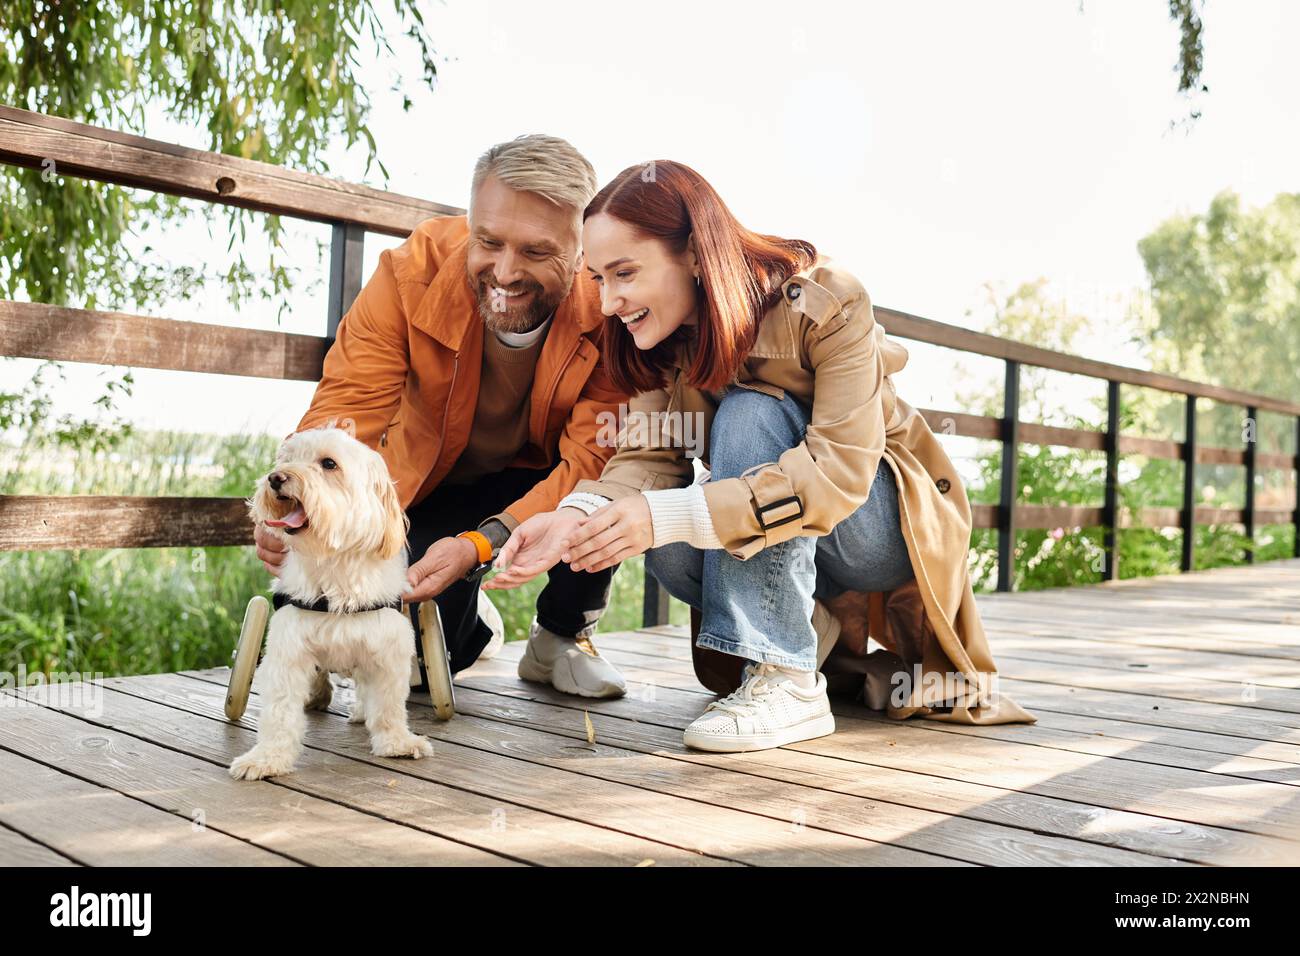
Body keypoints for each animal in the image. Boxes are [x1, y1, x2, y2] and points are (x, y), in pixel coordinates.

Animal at [231, 421, 434, 780]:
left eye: (329, 464)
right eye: (286, 459)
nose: (276, 478)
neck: (334, 567)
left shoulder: (388, 651)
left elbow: (389, 706)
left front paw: (396, 742)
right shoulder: (289, 652)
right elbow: (280, 712)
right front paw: (268, 758)